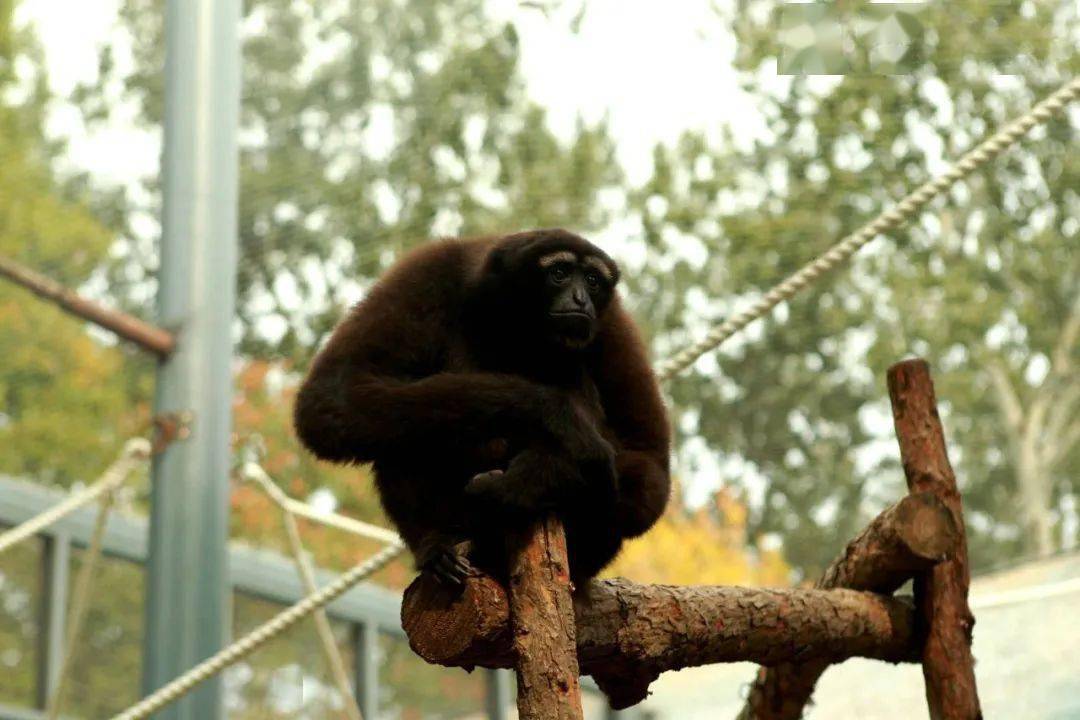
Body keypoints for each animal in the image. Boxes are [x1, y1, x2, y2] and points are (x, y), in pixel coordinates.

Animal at [293, 228, 670, 587]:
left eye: (592, 280)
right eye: (560, 273)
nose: (581, 298)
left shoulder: (612, 321)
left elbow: (648, 472)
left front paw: (533, 479)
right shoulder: (430, 269)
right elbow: (332, 397)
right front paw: (559, 416)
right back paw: (436, 545)